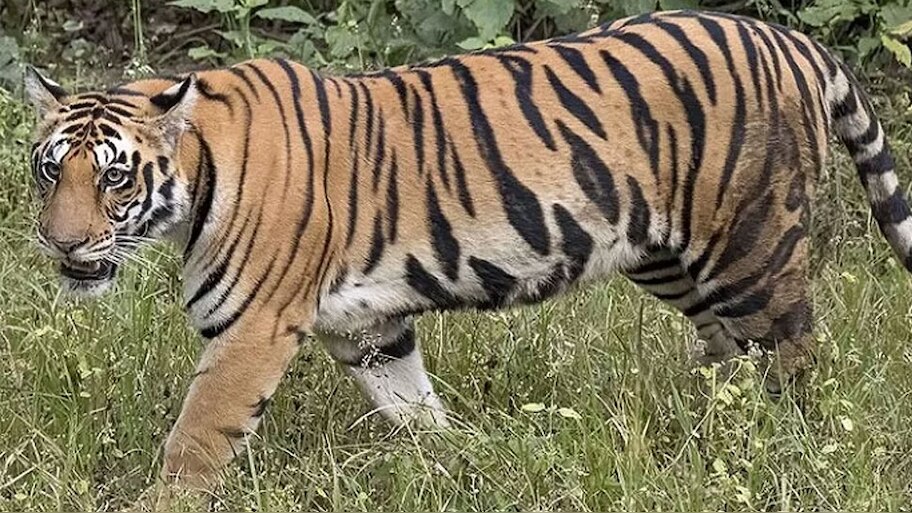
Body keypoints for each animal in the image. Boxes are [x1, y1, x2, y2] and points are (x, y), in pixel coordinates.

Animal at [25, 8, 912, 500]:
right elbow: (412, 404)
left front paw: (157, 502)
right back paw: (712, 430)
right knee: (733, 353)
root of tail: (788, 38)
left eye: (114, 176)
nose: (60, 242)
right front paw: (457, 462)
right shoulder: (366, 327)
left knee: (797, 355)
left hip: (751, 244)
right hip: (668, 255)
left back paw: (785, 450)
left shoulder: (252, 329)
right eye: (48, 168)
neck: (198, 177)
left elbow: (198, 435)